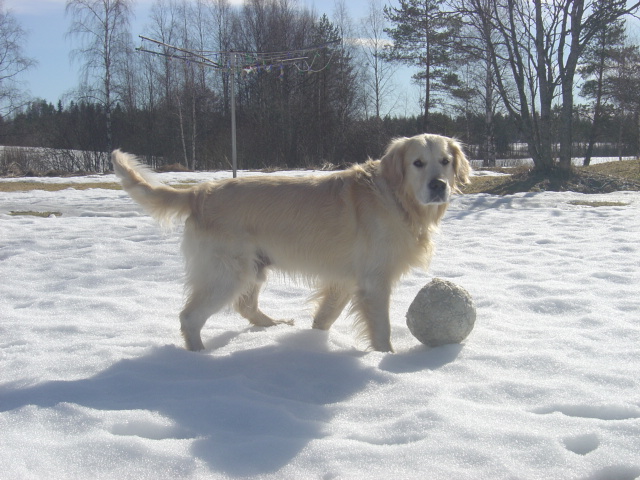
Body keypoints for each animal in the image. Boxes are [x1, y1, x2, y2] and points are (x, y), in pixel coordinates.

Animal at [112, 134, 470, 352]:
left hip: (254, 267)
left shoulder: (344, 279)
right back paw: (197, 357)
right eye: (417, 163)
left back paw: (274, 325)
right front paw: (386, 360)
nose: (438, 186)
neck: (397, 199)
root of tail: (200, 192)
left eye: (445, 161)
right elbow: (381, 330)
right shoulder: (374, 282)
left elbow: (325, 317)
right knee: (190, 316)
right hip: (227, 273)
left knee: (245, 306)